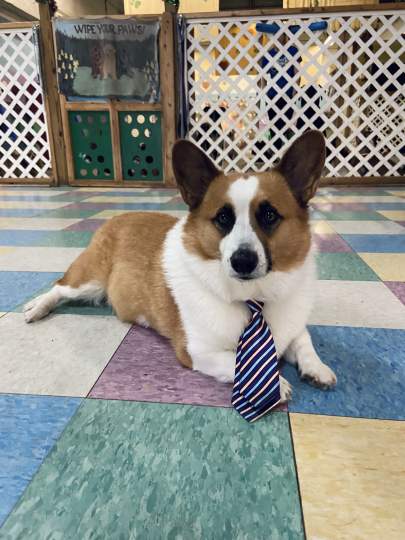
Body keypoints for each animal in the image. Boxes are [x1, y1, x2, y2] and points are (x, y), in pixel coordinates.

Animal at [23, 130, 336, 400]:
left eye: (270, 215)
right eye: (223, 218)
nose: (243, 261)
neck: (252, 297)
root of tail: (115, 217)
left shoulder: (293, 328)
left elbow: (303, 341)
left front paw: (316, 367)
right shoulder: (198, 351)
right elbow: (236, 363)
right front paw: (274, 385)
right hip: (88, 280)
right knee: (59, 286)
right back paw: (37, 307)